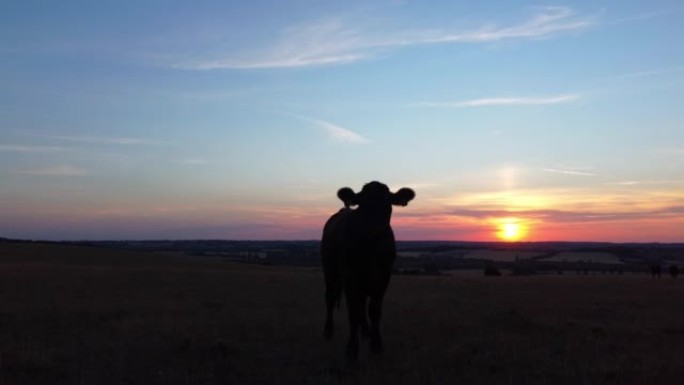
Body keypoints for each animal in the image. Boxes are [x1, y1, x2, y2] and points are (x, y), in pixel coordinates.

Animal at [320, 182, 414, 358]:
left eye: (388, 205)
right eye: (362, 206)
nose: (377, 231)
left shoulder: (383, 278)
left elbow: (374, 311)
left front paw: (376, 344)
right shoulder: (350, 279)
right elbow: (353, 312)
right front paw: (351, 349)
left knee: (363, 304)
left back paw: (365, 331)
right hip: (330, 271)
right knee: (330, 297)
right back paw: (328, 331)